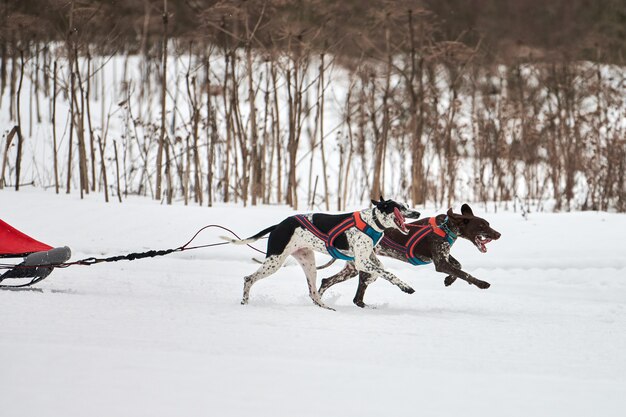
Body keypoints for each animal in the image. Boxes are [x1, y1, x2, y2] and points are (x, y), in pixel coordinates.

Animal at [224, 198, 420, 308]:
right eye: (400, 207)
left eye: (407, 205)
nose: (417, 213)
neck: (371, 222)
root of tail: (278, 226)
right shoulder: (361, 261)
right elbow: (387, 273)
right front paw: (405, 286)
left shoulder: (365, 258)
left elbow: (380, 269)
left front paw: (372, 278)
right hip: (274, 262)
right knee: (248, 279)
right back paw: (245, 302)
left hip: (309, 264)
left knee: (313, 293)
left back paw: (326, 307)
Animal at [320, 203, 500, 308]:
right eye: (482, 225)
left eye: (488, 224)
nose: (498, 234)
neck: (446, 227)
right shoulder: (440, 263)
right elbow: (465, 274)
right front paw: (481, 283)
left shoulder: (443, 258)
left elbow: (459, 267)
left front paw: (449, 280)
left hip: (354, 268)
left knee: (331, 283)